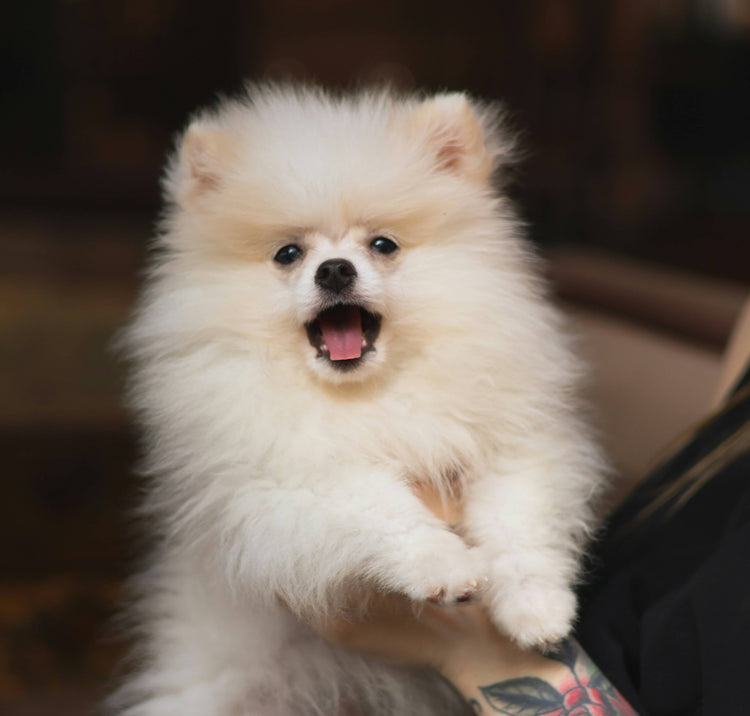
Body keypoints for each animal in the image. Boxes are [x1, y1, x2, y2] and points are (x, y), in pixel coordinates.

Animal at [114, 85, 608, 716]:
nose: (334, 269)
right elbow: (381, 506)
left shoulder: (516, 445)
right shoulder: (283, 480)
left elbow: (517, 523)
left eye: (382, 244)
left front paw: (536, 607)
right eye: (288, 254)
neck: (370, 396)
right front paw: (443, 563)